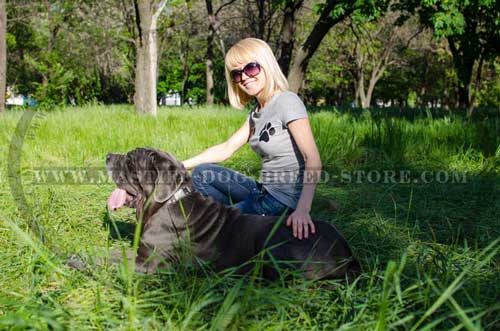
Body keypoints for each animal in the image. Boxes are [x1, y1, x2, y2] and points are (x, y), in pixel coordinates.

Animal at [104, 148, 360, 280]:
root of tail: (347, 249)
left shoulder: (151, 264)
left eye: (130, 161)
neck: (167, 201)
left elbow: (112, 260)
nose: (107, 156)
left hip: (274, 244)